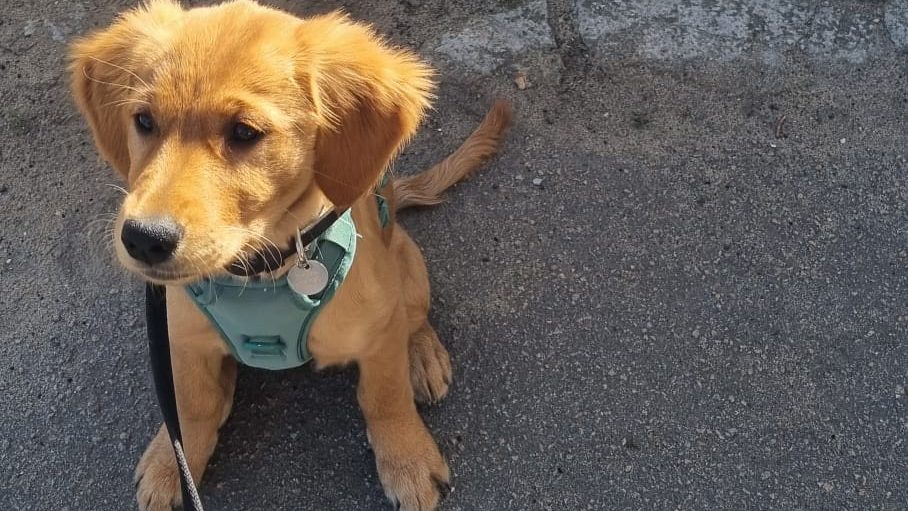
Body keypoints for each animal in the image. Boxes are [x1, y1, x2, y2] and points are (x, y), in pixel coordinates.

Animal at [69, 1, 510, 511]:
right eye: (143, 121)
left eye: (244, 132)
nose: (143, 238)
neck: (262, 271)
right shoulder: (181, 334)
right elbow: (191, 404)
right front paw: (171, 463)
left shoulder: (378, 331)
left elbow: (385, 395)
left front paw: (408, 458)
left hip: (408, 267)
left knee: (413, 317)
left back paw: (422, 356)